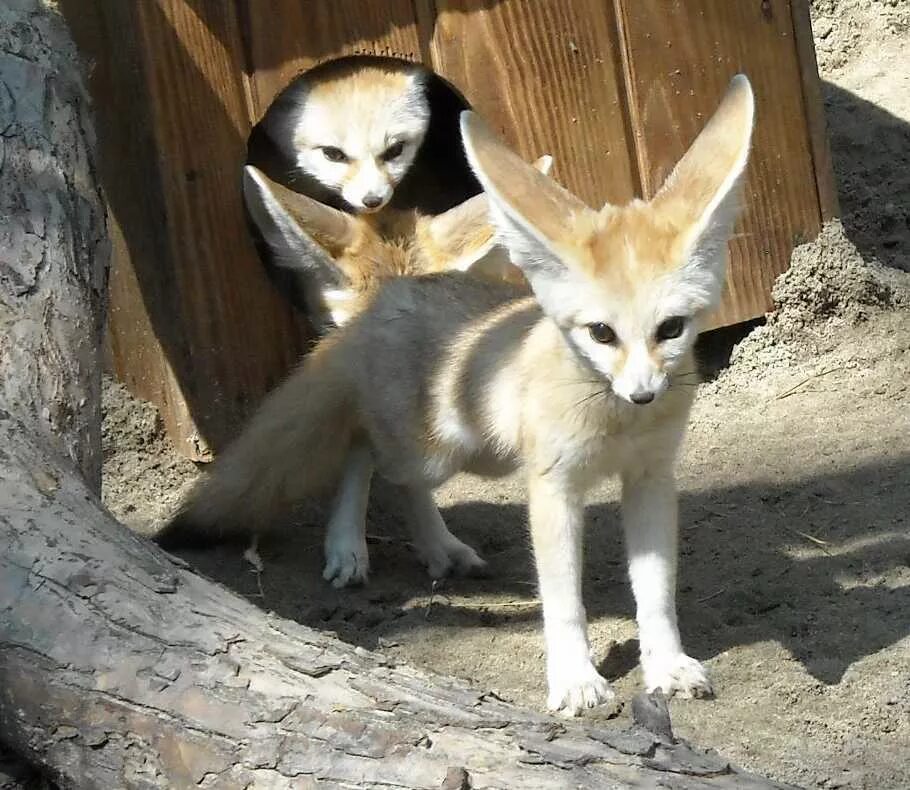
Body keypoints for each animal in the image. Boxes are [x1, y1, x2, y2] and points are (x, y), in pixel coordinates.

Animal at [162, 77, 756, 716]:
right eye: (601, 334)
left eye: (670, 329)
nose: (644, 393)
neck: (615, 423)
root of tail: (388, 297)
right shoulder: (552, 488)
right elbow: (564, 603)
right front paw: (574, 678)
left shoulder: (651, 479)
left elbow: (656, 593)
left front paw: (666, 665)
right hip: (436, 451)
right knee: (367, 451)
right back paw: (353, 544)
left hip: (474, 454)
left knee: (389, 469)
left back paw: (431, 548)